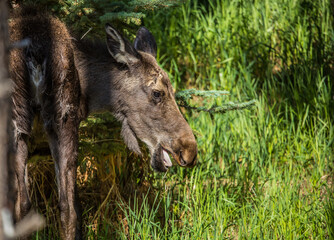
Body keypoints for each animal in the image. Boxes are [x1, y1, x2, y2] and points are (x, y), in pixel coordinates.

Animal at [9, 7, 197, 238]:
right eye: (157, 92)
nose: (189, 151)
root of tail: (36, 50)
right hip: (58, 120)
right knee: (64, 208)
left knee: (36, 207)